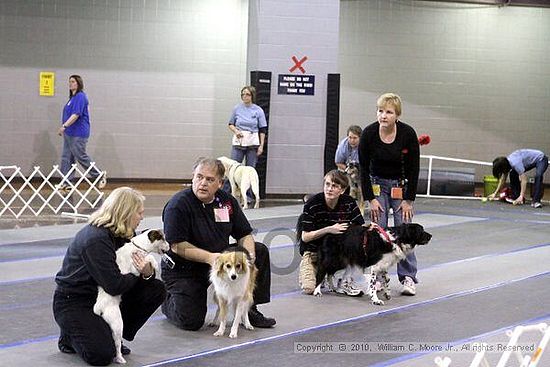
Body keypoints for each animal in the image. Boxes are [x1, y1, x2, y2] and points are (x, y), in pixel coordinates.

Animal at [92, 230, 168, 366]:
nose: (170, 247)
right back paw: (120, 358)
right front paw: (155, 264)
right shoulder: (135, 266)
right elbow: (149, 258)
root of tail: (99, 307)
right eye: (163, 239)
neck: (139, 246)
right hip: (117, 324)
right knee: (116, 345)